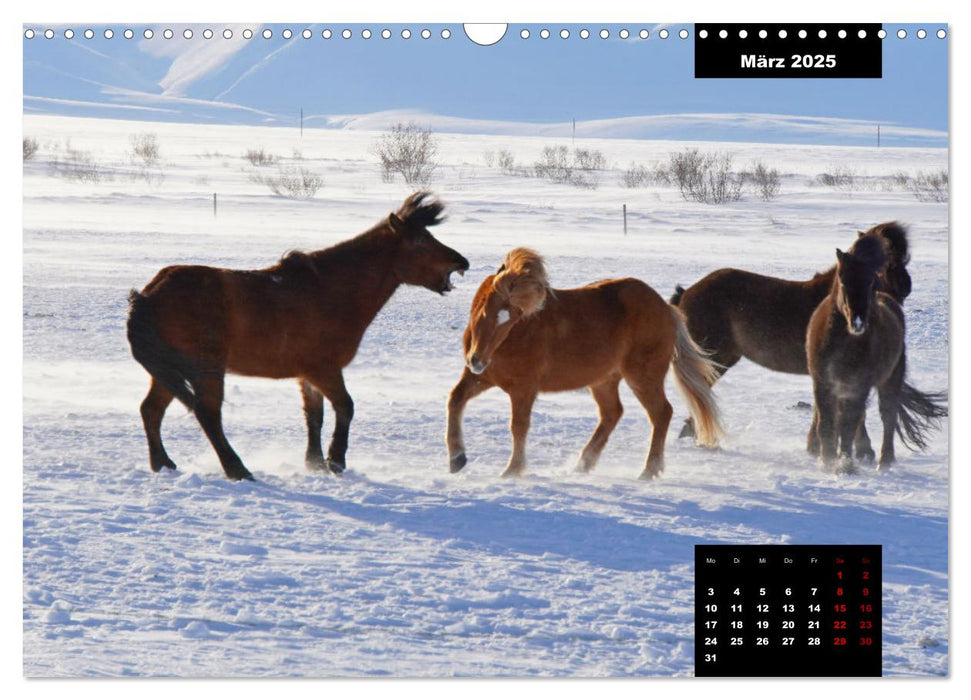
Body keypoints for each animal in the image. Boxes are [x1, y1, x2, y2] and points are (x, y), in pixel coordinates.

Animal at [128, 191, 470, 482]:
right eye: (420, 240)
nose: (461, 262)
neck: (329, 290)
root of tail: (148, 294)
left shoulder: (308, 374)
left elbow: (314, 415)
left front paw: (314, 463)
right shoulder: (325, 369)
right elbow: (345, 407)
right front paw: (335, 461)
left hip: (169, 370)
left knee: (151, 410)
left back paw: (163, 463)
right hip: (205, 370)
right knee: (208, 415)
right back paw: (237, 469)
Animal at [448, 247, 720, 482]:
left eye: (512, 318)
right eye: (485, 312)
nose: (477, 360)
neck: (510, 340)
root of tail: (666, 308)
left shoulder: (523, 388)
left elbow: (519, 426)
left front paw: (513, 470)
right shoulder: (481, 378)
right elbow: (455, 400)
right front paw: (456, 458)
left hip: (643, 377)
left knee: (661, 413)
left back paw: (648, 471)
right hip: (604, 380)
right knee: (612, 413)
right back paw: (583, 464)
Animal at [804, 234, 948, 470]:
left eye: (870, 281)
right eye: (842, 280)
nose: (858, 322)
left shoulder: (857, 386)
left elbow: (848, 425)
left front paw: (844, 466)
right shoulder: (823, 383)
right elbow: (826, 423)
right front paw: (827, 462)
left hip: (890, 380)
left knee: (887, 417)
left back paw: (885, 462)